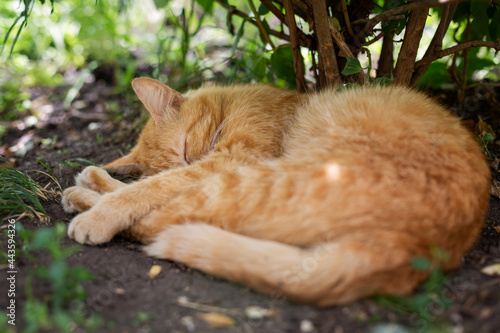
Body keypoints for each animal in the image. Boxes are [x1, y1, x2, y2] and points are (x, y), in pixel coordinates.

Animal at [61, 76, 488, 304]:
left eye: (183, 149)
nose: (188, 162)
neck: (239, 101)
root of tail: (415, 247)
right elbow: (149, 183)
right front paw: (102, 179)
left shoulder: (230, 160)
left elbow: (151, 188)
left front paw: (101, 206)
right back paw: (87, 187)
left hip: (250, 181)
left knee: (159, 222)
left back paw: (86, 203)